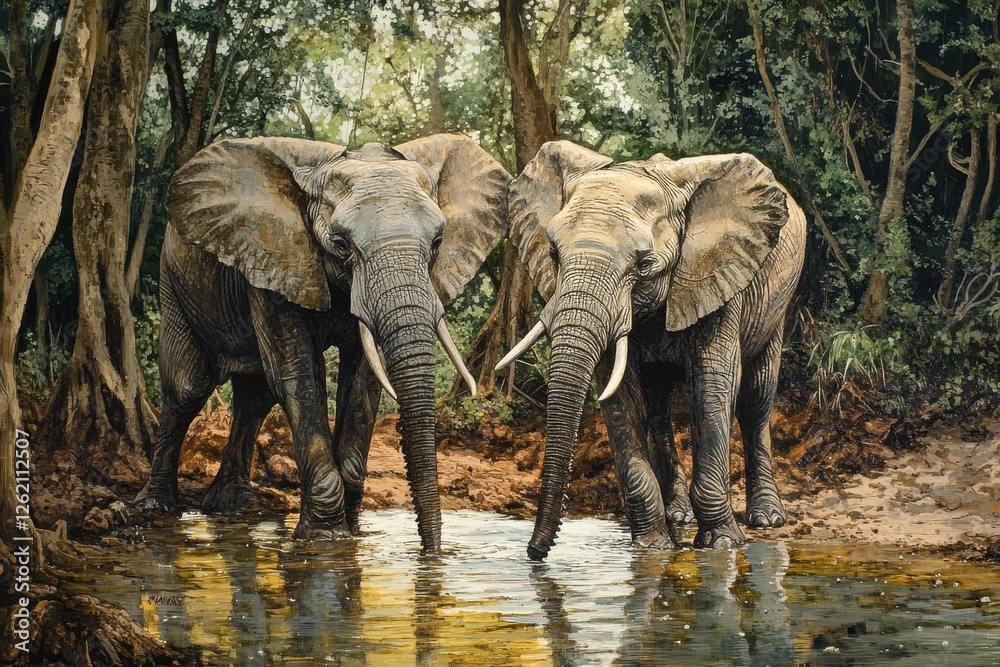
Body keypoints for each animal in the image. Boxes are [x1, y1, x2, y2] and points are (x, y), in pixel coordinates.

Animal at [131, 133, 510, 551]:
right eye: (341, 244)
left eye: (438, 242)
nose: (431, 553)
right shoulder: (275, 258)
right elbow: (298, 376)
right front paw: (324, 539)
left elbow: (361, 381)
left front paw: (352, 533)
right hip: (174, 278)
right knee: (188, 387)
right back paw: (156, 508)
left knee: (254, 396)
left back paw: (230, 505)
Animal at [498, 141, 805, 559]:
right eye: (554, 255)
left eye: (644, 265)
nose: (534, 553)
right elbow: (620, 398)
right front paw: (652, 547)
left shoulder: (718, 273)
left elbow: (713, 387)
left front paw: (721, 544)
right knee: (658, 409)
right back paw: (678, 516)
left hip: (778, 302)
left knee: (756, 400)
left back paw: (767, 519)